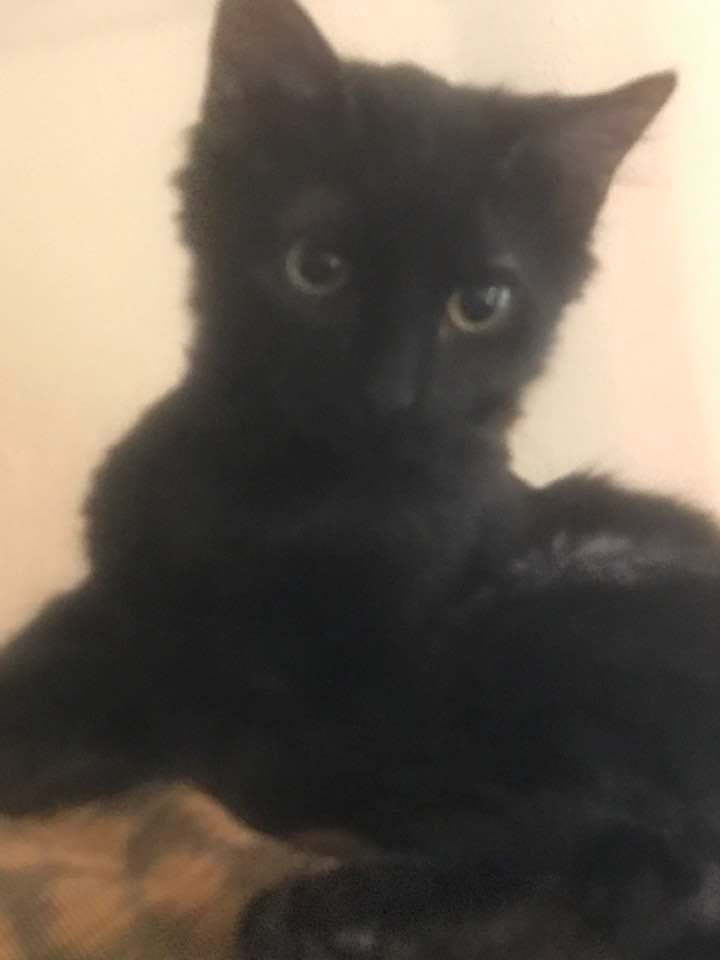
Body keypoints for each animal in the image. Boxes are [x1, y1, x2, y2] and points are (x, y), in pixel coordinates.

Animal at [2, 0, 716, 956]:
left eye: (480, 305)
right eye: (317, 268)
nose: (389, 393)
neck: (285, 500)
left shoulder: (331, 702)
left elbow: (180, 711)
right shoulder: (114, 596)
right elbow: (58, 655)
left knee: (640, 862)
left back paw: (335, 917)